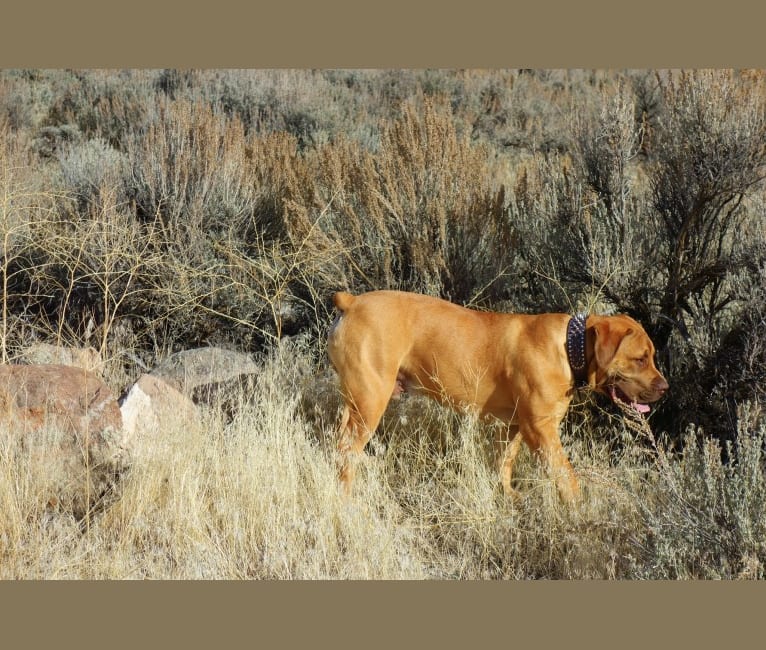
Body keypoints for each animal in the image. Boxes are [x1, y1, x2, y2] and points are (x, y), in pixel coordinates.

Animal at [328, 290, 668, 502]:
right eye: (640, 359)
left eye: (651, 356)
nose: (665, 387)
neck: (570, 347)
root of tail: (352, 302)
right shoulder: (540, 429)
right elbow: (566, 477)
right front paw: (578, 511)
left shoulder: (514, 427)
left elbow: (503, 464)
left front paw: (506, 497)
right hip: (370, 401)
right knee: (347, 452)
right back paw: (347, 499)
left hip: (353, 403)